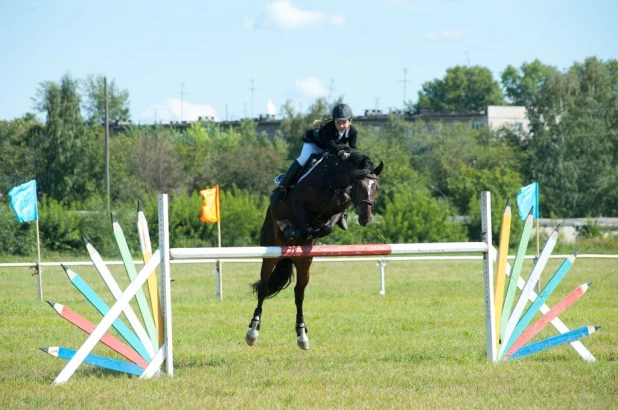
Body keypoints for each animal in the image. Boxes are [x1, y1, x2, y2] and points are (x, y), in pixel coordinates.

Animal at [244, 144, 380, 350]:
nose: (366, 218)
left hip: (304, 262)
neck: (333, 179)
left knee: (299, 293)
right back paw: (253, 331)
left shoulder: (338, 209)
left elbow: (327, 225)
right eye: (359, 185)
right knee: (264, 287)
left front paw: (309, 232)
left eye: (376, 187)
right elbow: (304, 221)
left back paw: (302, 334)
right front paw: (294, 229)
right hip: (270, 253)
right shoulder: (299, 201)